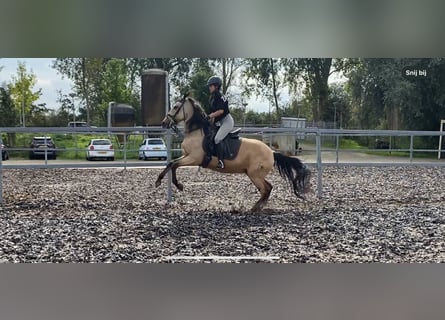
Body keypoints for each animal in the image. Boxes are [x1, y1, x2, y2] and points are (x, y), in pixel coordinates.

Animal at [154, 97, 310, 212]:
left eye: (175, 107)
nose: (163, 122)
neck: (196, 131)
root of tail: (271, 152)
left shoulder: (194, 158)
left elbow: (174, 165)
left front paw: (178, 185)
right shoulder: (187, 156)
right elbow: (171, 164)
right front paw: (159, 181)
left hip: (255, 174)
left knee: (266, 189)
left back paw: (254, 208)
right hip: (253, 174)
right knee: (268, 188)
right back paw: (257, 207)